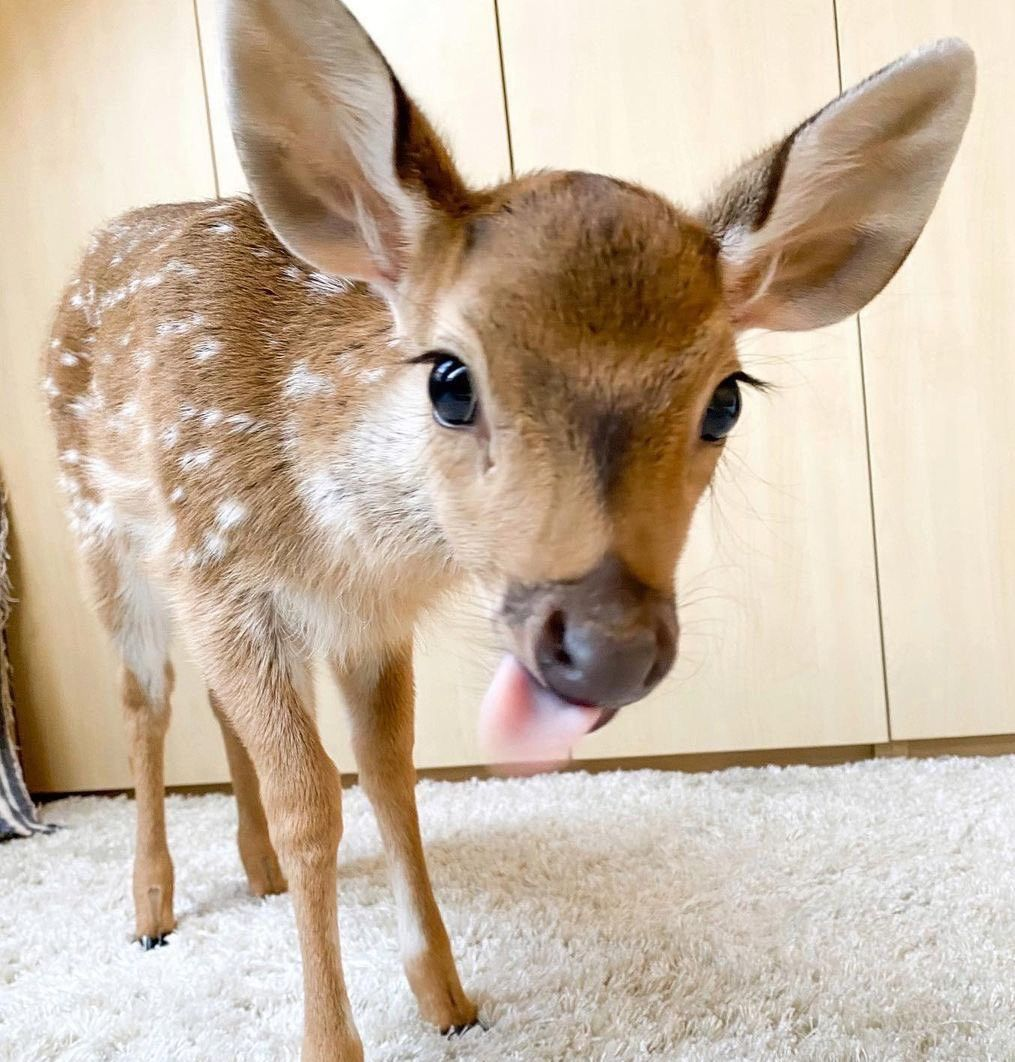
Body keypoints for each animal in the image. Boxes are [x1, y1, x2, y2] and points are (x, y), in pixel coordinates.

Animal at [41, 0, 974, 1056]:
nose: (609, 649)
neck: (347, 542)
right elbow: (310, 802)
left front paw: (447, 999)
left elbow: (389, 779)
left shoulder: (365, 622)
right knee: (143, 701)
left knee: (208, 706)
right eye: (449, 378)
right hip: (101, 531)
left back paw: (254, 875)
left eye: (726, 400)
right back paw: (151, 910)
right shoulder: (222, 569)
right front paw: (330, 1040)